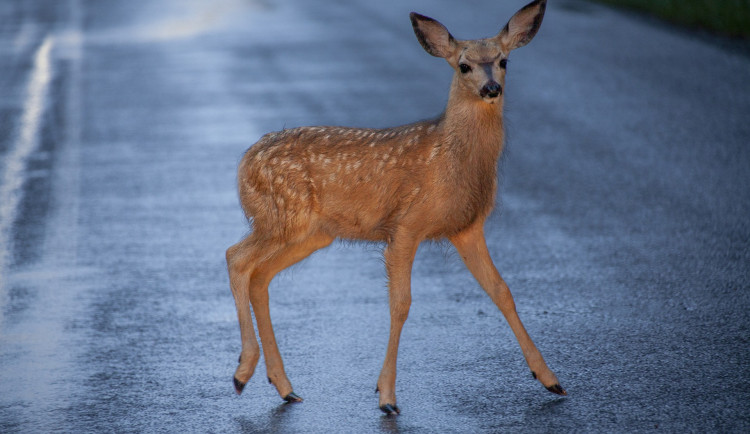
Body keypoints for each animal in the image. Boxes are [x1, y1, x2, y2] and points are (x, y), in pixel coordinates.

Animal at [226, 0, 568, 414]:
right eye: (463, 65)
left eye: (504, 61)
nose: (491, 88)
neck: (450, 160)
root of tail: (244, 161)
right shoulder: (407, 224)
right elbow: (401, 304)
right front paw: (387, 396)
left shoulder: (467, 227)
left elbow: (502, 291)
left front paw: (551, 380)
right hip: (280, 216)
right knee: (236, 257)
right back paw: (243, 372)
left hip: (311, 234)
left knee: (260, 275)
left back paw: (284, 386)